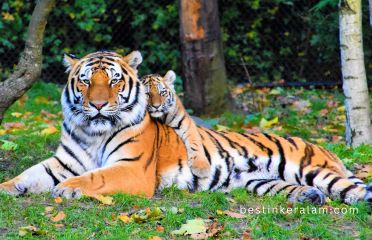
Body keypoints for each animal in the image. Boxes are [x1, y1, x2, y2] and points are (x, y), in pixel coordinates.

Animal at [0, 50, 370, 204]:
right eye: (87, 81)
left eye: (114, 81)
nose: (99, 105)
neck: (94, 132)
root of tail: (325, 148)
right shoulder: (62, 162)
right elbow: (27, 176)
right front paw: (8, 188)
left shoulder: (131, 168)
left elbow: (95, 177)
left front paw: (67, 189)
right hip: (260, 182)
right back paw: (310, 197)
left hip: (312, 169)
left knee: (355, 190)